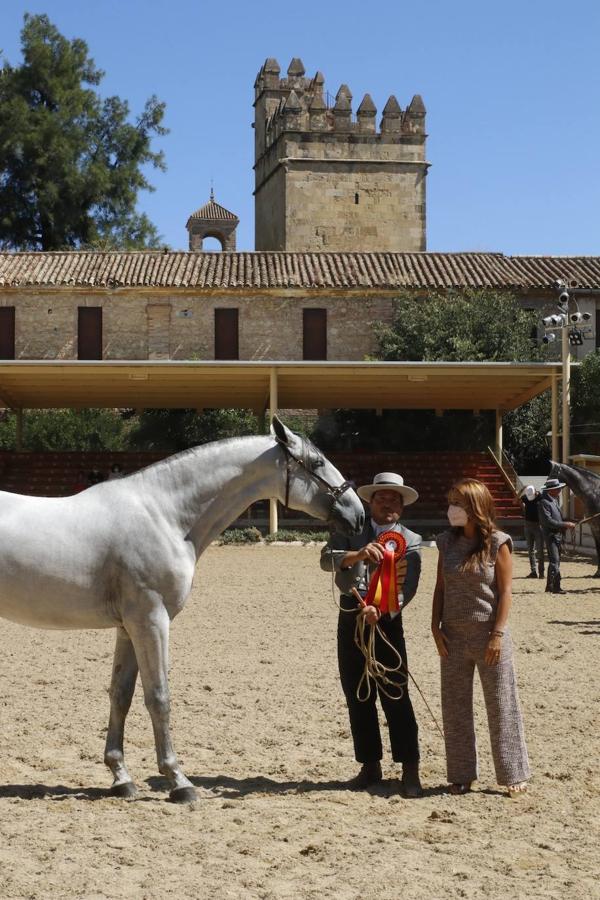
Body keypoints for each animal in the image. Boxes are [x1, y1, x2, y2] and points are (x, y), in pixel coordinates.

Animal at [0, 416, 364, 800]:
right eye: (316, 462)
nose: (358, 514)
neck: (164, 516)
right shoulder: (151, 621)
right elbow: (159, 697)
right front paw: (178, 781)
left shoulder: (128, 628)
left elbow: (121, 695)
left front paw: (121, 777)